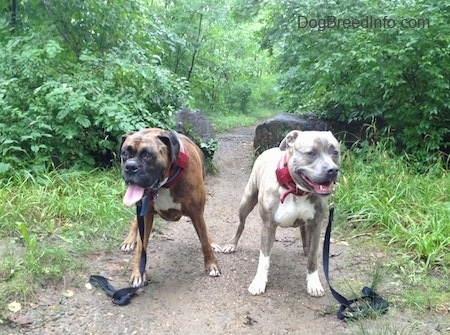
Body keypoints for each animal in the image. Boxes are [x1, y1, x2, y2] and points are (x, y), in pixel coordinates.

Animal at [118, 129, 219, 288]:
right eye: (125, 153)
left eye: (148, 155)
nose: (130, 166)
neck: (165, 184)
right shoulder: (145, 215)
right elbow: (141, 247)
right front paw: (138, 273)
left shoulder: (196, 213)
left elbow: (203, 240)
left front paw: (211, 264)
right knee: (135, 222)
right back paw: (129, 241)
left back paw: (212, 242)